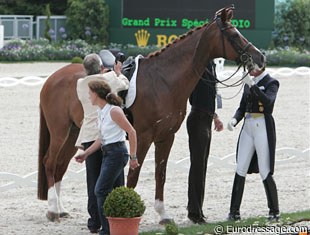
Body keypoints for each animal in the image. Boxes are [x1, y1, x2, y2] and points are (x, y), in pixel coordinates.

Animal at [38, 6, 266, 224]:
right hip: (60, 132)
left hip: (74, 133)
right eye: (234, 34)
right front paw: (125, 214)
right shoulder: (143, 137)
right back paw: (52, 211)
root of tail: (52, 79)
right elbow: (133, 175)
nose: (260, 57)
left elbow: (160, 174)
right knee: (50, 162)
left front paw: (163, 214)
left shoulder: (166, 137)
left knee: (59, 166)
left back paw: (60, 209)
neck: (163, 81)